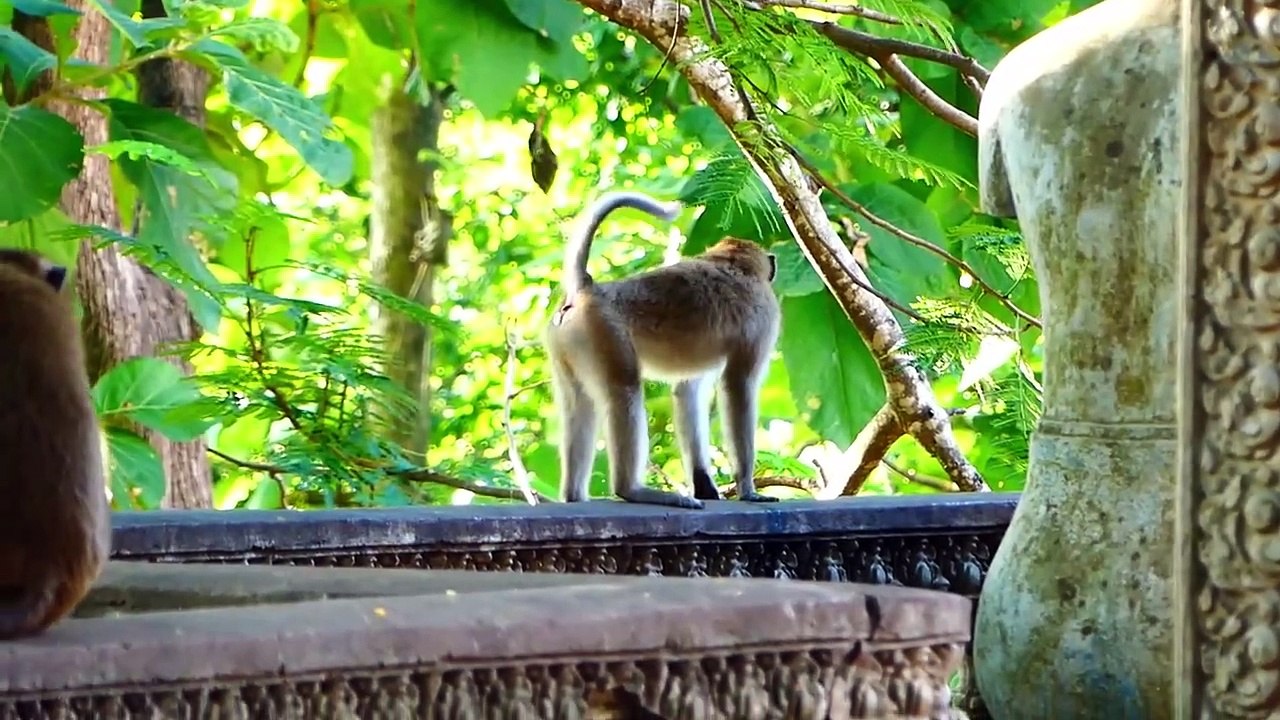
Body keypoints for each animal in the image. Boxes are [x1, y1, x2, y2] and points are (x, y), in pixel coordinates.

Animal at [546, 191, 782, 509]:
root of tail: (587, 290)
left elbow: (687, 392)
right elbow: (738, 385)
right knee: (624, 390)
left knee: (579, 401)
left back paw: (574, 496)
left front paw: (704, 485)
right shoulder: (763, 318)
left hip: (566, 347)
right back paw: (631, 490)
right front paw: (748, 489)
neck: (733, 263)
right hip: (605, 332)